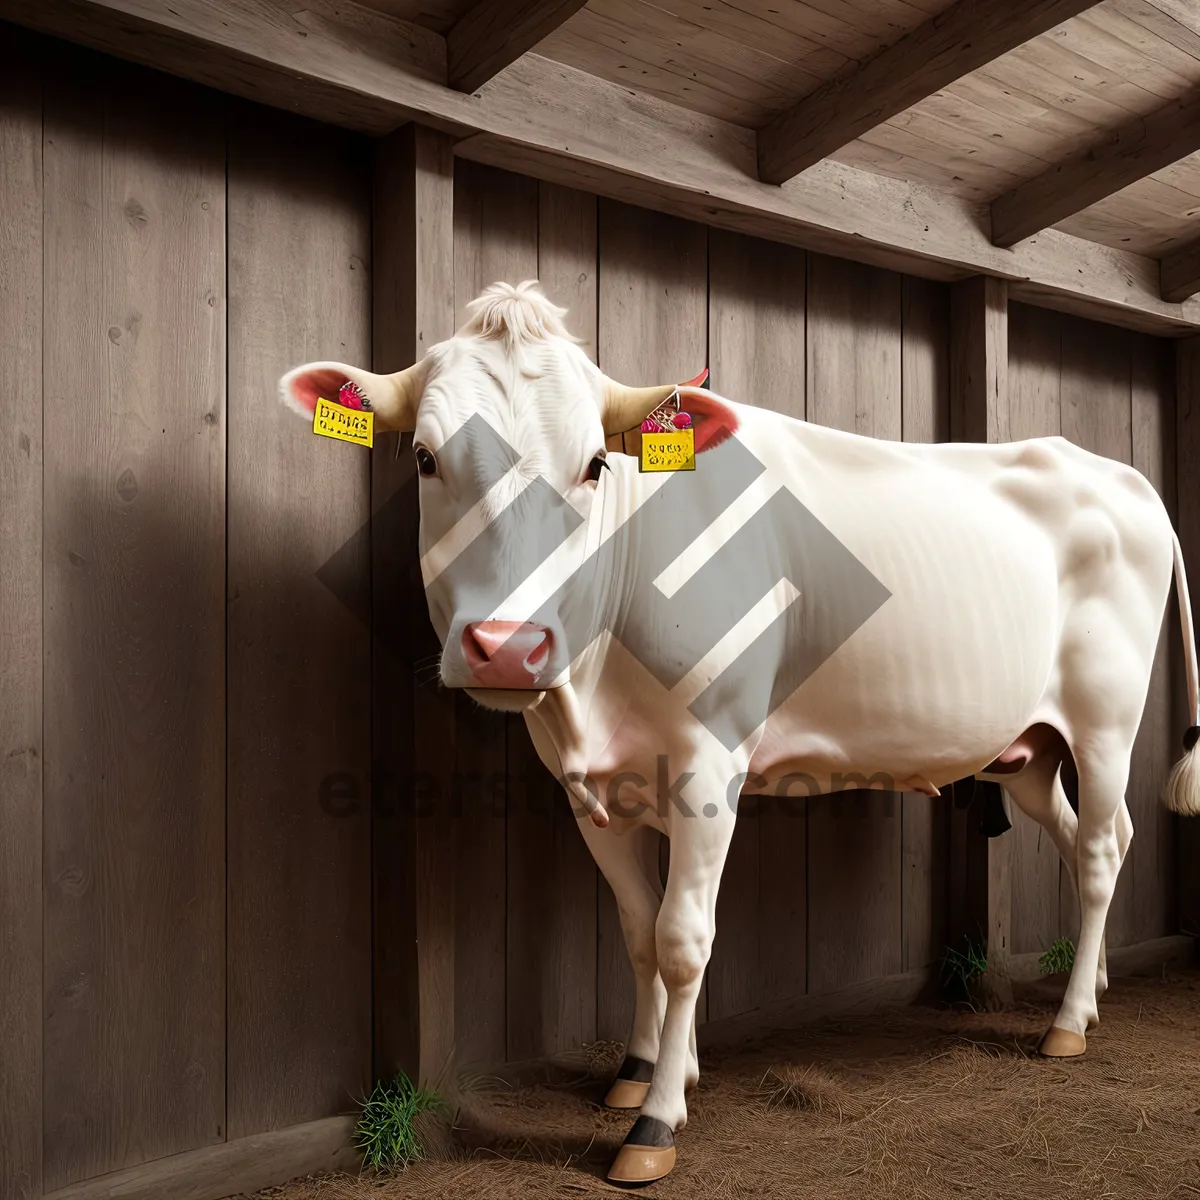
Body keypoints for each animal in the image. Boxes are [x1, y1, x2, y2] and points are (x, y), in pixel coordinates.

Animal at [283, 278, 1200, 1180]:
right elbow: (637, 930)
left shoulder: (708, 758)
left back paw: (1069, 1023)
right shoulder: (588, 791)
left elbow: (683, 938)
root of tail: (1123, 475)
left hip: (1106, 717)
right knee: (1092, 835)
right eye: (426, 457)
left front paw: (655, 1121)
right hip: (1027, 750)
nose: (509, 646)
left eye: (594, 465)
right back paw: (1097, 988)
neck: (591, 700)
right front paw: (645, 1068)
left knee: (1099, 851)